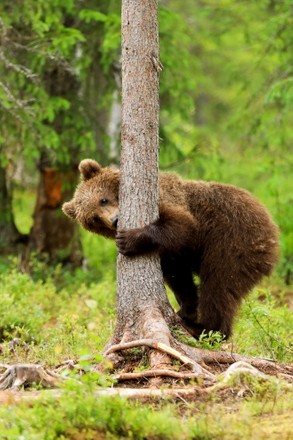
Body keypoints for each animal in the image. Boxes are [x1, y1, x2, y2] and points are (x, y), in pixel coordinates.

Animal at [62, 160, 278, 338]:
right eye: (94, 219)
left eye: (103, 199)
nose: (115, 221)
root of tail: (272, 232)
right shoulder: (170, 255)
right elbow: (177, 275)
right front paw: (186, 307)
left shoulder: (170, 201)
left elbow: (182, 225)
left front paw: (129, 239)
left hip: (232, 241)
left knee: (219, 284)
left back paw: (207, 328)